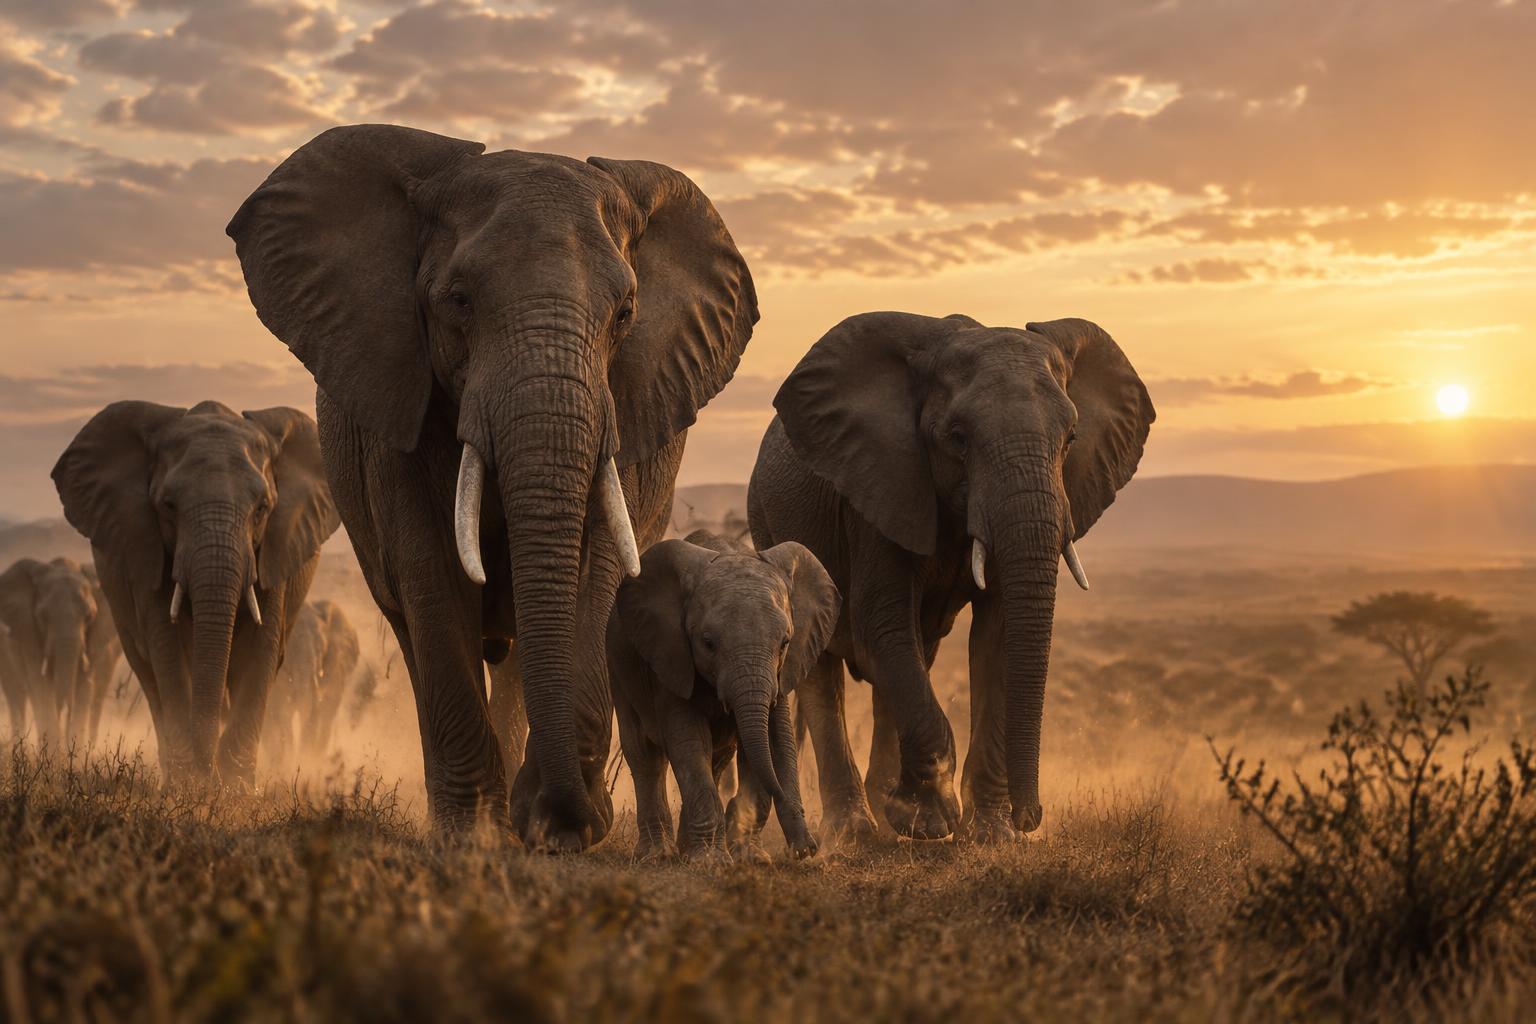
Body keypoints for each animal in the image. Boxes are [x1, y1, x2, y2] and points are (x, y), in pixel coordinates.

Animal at [0, 557, 118, 748]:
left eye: (89, 617)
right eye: (43, 617)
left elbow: (85, 687)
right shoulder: (28, 631)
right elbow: (40, 685)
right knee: (16, 696)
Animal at [51, 401, 340, 785]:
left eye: (262, 508)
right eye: (168, 506)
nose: (208, 771)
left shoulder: (275, 548)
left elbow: (261, 647)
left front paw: (233, 790)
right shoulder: (146, 548)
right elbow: (168, 649)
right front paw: (190, 785)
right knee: (148, 673)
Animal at [262, 598, 373, 778]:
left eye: (323, 650)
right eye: (288, 656)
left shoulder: (336, 666)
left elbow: (325, 710)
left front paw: (310, 762)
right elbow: (283, 714)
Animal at [606, 532, 837, 859]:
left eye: (785, 643)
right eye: (708, 643)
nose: (809, 847)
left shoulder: (782, 671)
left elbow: (775, 740)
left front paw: (752, 858)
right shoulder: (670, 655)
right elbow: (688, 740)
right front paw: (710, 861)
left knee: (717, 758)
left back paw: (686, 848)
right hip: (618, 667)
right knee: (644, 754)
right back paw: (659, 854)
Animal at [749, 313, 1154, 842]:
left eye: (1071, 439)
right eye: (958, 437)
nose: (1032, 817)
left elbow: (995, 637)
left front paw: (990, 834)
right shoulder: (880, 486)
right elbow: (882, 621)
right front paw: (930, 820)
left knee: (907, 660)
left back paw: (884, 813)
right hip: (767, 520)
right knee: (827, 669)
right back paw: (856, 833)